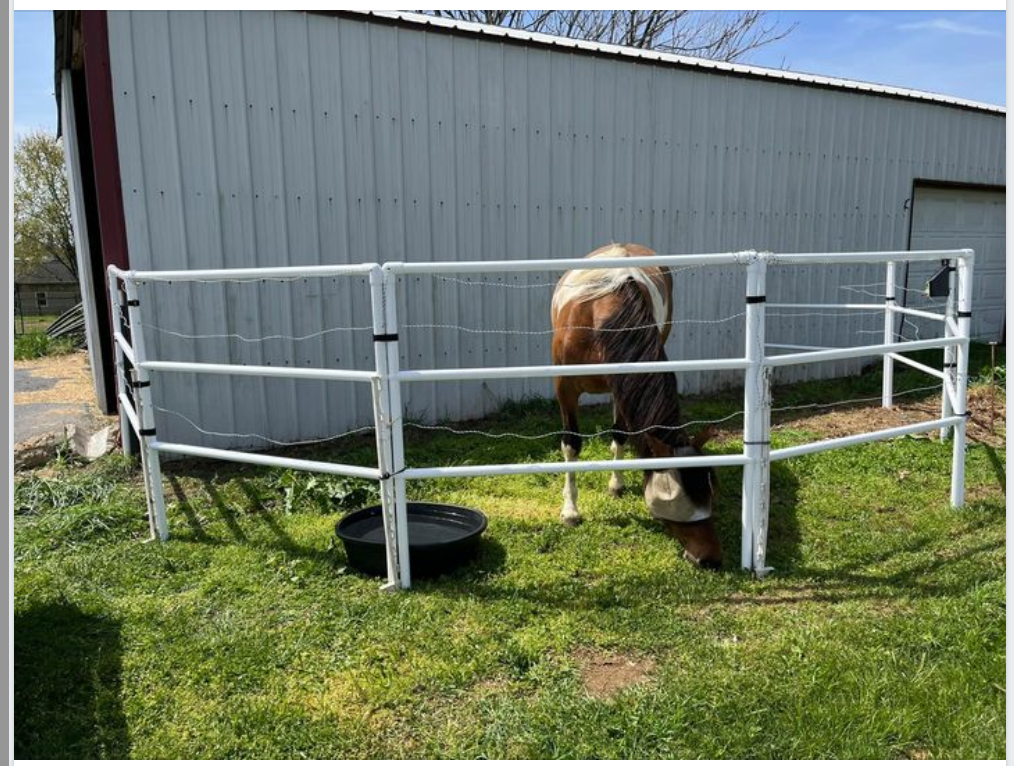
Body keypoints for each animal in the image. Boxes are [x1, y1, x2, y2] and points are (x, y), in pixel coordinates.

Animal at [550, 243, 722, 569]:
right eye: (678, 506)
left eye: (709, 494)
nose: (709, 558)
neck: (601, 317)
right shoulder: (565, 389)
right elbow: (571, 445)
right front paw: (570, 511)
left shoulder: (624, 381)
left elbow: (619, 434)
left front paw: (616, 484)